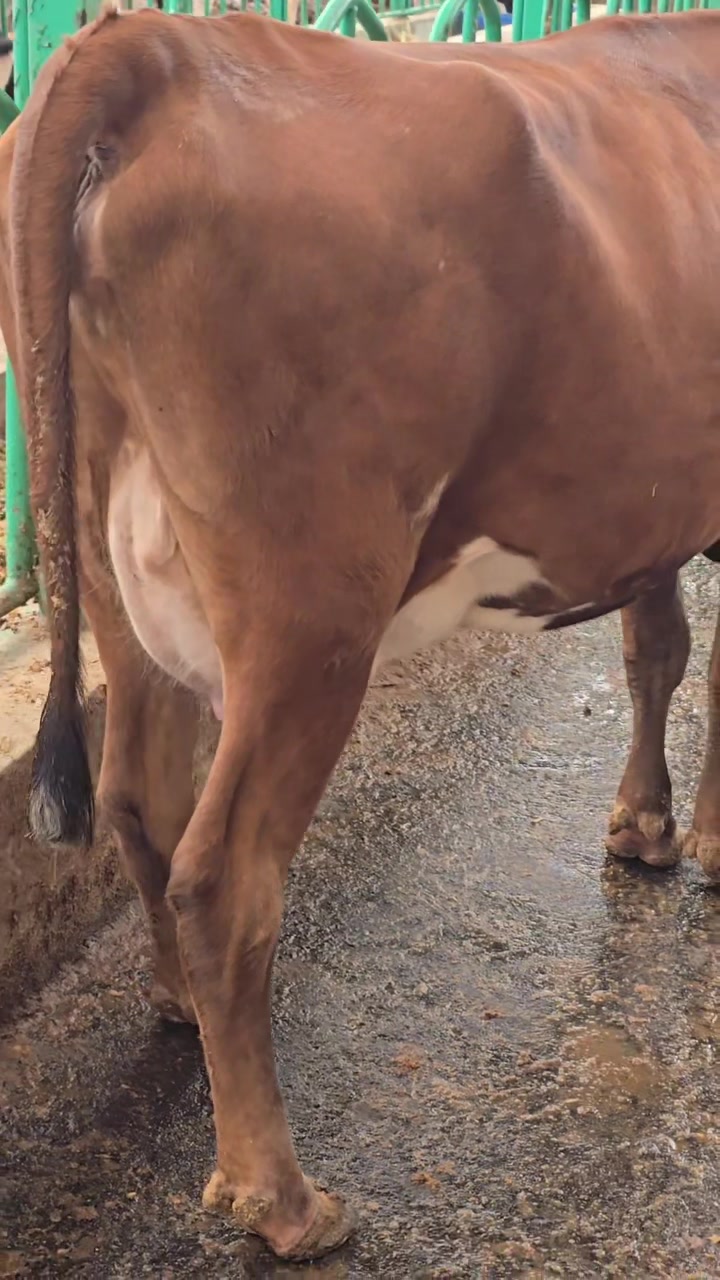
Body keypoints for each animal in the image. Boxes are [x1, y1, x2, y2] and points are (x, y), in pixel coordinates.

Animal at [4, 3, 720, 1261]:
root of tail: (157, 48)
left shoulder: (652, 502)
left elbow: (656, 646)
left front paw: (644, 826)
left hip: (119, 567)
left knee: (140, 798)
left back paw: (177, 1004)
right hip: (312, 612)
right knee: (226, 872)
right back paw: (281, 1198)